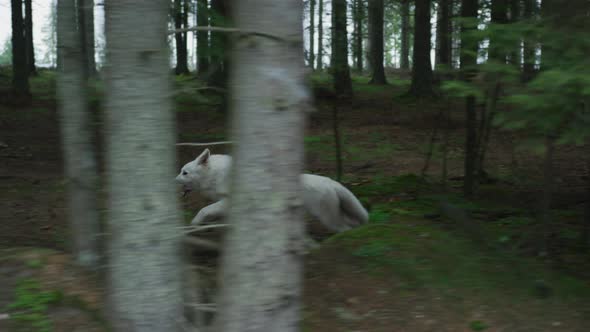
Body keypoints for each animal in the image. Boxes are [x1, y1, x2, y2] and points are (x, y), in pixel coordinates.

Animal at [176, 149, 370, 232]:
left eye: (184, 172)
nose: (174, 181)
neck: (216, 175)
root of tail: (330, 182)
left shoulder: (228, 201)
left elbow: (204, 210)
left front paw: (194, 224)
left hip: (327, 217)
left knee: (344, 228)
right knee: (353, 223)